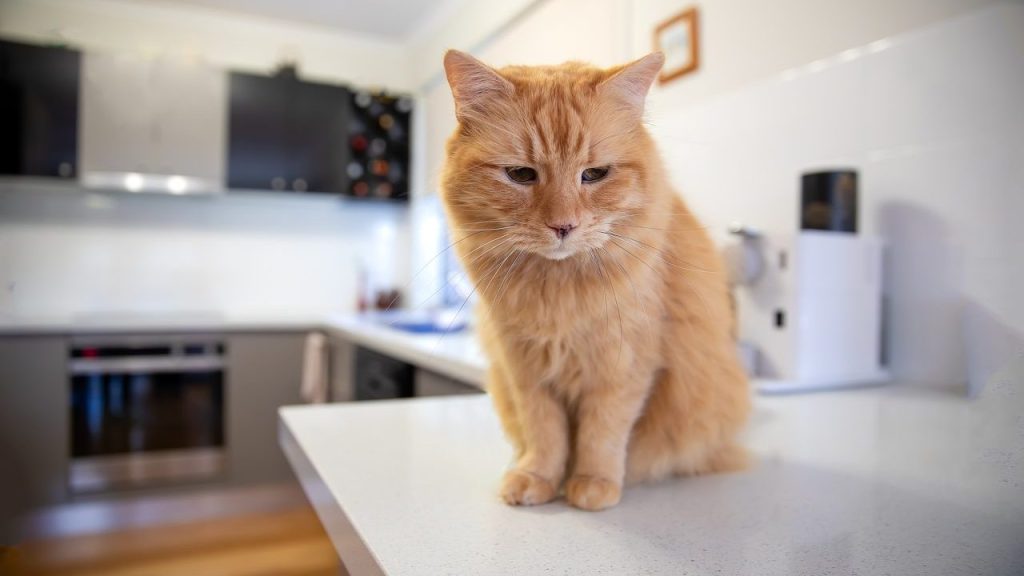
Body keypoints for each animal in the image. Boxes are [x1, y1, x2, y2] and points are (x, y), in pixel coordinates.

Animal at [436, 49, 749, 506]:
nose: (563, 226)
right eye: (521, 174)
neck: (557, 291)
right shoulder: (526, 369)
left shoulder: (623, 366)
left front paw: (593, 484)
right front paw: (537, 478)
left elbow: (602, 433)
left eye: (594, 174)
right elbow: (544, 433)